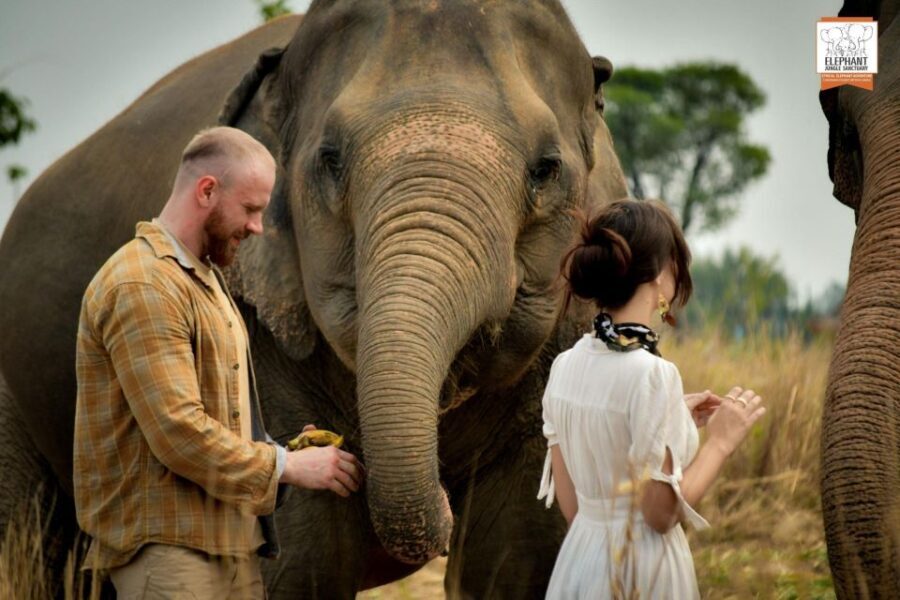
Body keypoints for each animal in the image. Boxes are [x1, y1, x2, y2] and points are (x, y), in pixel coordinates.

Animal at [0, 1, 628, 597]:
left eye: (545, 169)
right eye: (330, 160)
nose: (447, 507)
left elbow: (519, 556)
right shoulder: (261, 326)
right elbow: (303, 562)